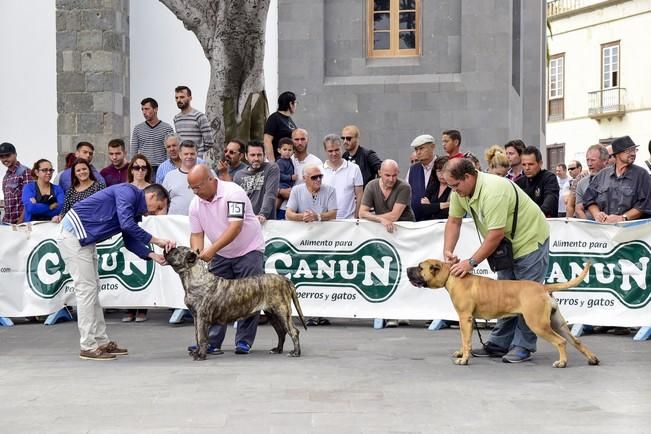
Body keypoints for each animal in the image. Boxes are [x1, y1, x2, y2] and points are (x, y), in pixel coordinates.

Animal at [163, 246, 306, 362]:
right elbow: (198, 336)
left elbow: (202, 338)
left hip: (282, 311)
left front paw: (201, 356)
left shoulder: (202, 318)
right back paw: (277, 349)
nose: (167, 248)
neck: (195, 277)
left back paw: (296, 353)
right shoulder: (195, 317)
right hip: (272, 314)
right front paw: (197, 352)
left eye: (176, 252)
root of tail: (285, 279)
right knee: (281, 332)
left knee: (293, 331)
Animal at [408, 260, 600, 368]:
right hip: (557, 323)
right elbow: (465, 340)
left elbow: (466, 340)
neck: (451, 276)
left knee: (560, 342)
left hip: (538, 324)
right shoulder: (468, 320)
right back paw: (592, 359)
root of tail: (543, 288)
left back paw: (562, 362)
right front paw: (462, 353)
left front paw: (464, 359)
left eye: (420, 267)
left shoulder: (464, 318)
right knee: (576, 341)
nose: (408, 269)